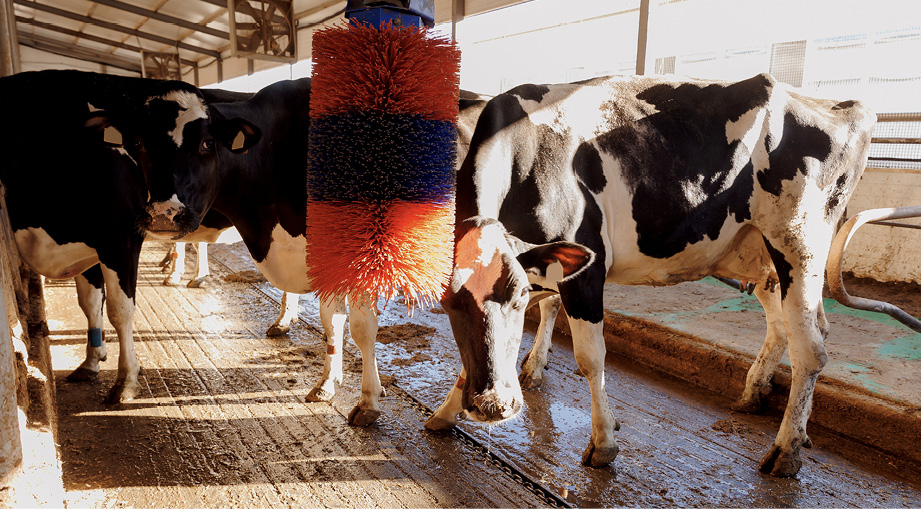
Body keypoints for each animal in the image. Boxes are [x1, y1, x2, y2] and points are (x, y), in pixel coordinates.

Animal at [425, 73, 875, 478]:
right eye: (447, 302)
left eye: (518, 297)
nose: (494, 406)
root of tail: (843, 105)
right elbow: (472, 358)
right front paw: (446, 413)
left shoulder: (585, 272)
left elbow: (590, 358)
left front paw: (604, 442)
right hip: (761, 254)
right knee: (792, 328)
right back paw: (758, 396)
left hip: (798, 244)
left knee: (811, 350)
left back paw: (786, 450)